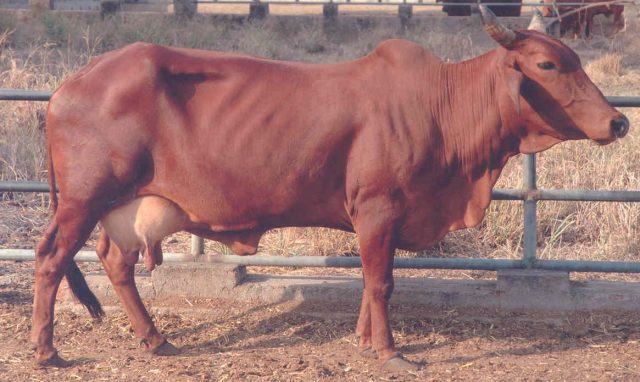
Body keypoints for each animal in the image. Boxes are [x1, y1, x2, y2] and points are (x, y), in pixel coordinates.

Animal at [32, 5, 628, 370]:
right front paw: (389, 351)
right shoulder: (379, 208)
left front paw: (365, 340)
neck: (443, 106)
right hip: (83, 200)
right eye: (547, 63)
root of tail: (71, 82)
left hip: (123, 206)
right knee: (51, 258)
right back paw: (47, 350)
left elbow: (370, 281)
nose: (619, 121)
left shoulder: (378, 218)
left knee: (115, 261)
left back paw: (156, 339)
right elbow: (382, 283)